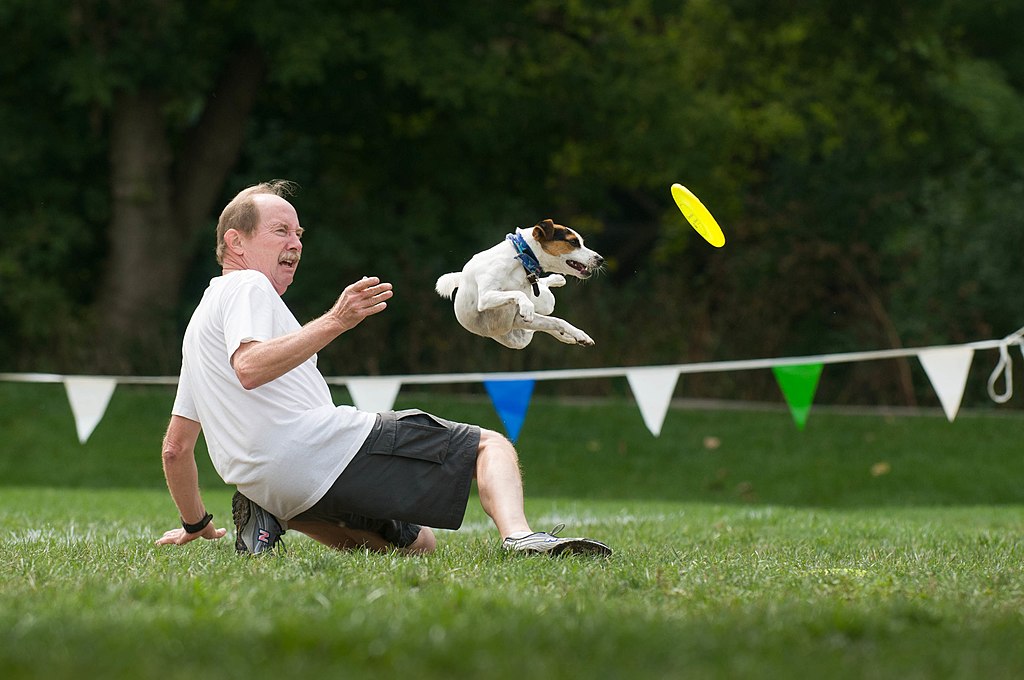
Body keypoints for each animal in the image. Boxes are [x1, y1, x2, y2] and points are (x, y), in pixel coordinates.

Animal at [434, 219, 598, 350]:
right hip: (522, 332)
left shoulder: (517, 317)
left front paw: (580, 335)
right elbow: (517, 294)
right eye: (573, 242)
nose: (600, 259)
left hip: (541, 309)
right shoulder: (486, 297)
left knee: (549, 317)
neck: (521, 259)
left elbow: (557, 320)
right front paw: (526, 306)